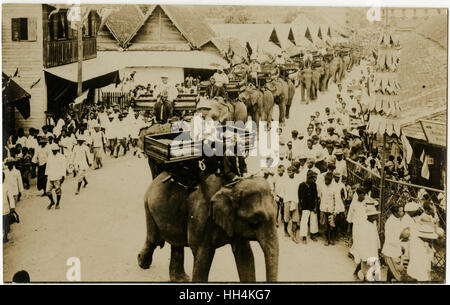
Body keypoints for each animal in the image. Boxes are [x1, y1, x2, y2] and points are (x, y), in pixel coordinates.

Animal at [137, 172, 278, 282]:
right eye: (254, 221)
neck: (231, 187)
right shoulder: (201, 216)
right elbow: (203, 255)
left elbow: (245, 256)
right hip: (148, 206)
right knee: (154, 239)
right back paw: (142, 263)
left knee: (175, 243)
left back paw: (179, 279)